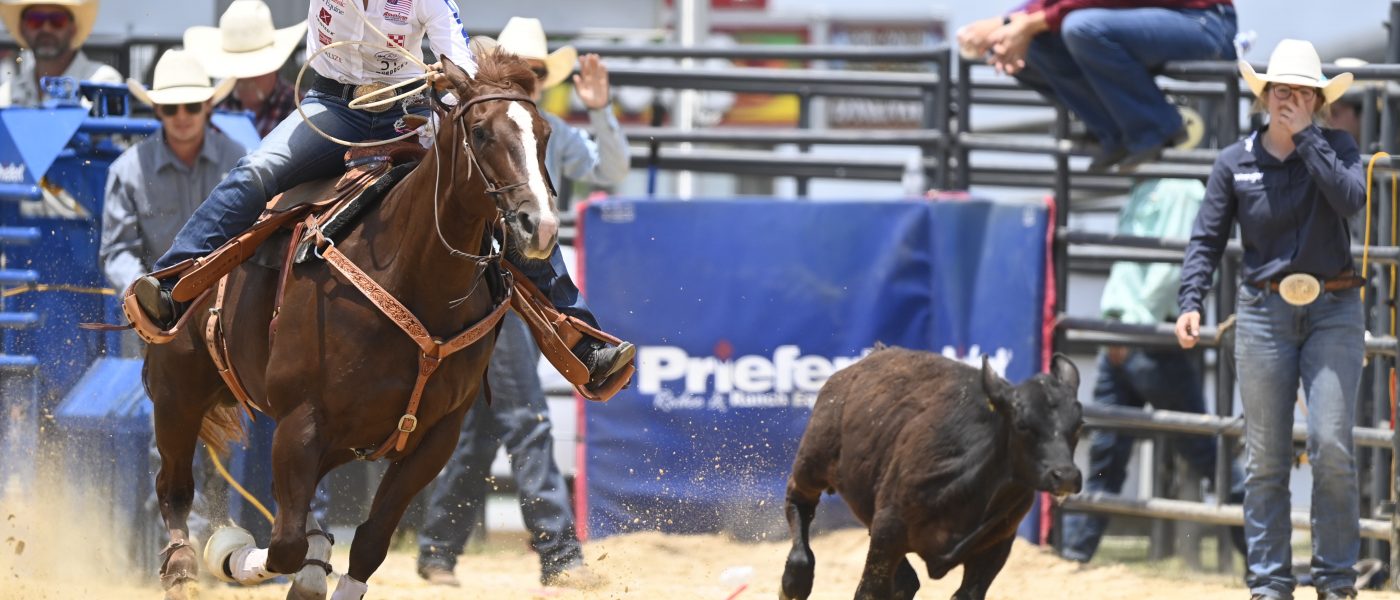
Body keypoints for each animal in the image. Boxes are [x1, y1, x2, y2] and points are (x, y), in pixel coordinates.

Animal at [143, 52, 558, 600]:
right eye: (482, 131)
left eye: (545, 133)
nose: (541, 226)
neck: (414, 280)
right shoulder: (300, 421)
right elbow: (284, 545)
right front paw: (232, 556)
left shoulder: (436, 437)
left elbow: (369, 541)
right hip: (177, 391)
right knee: (174, 488)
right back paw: (184, 567)